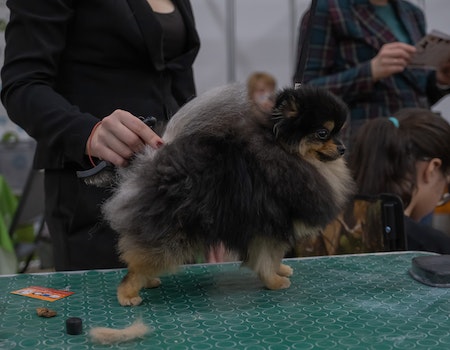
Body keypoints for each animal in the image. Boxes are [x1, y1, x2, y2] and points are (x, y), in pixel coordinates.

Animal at [102, 84, 356, 306]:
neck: (286, 153)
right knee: (138, 264)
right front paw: (274, 281)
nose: (343, 148)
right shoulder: (268, 224)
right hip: (171, 232)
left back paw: (148, 281)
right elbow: (267, 257)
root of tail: (155, 159)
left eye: (339, 131)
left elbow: (275, 257)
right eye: (323, 133)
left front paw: (281, 270)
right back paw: (127, 294)